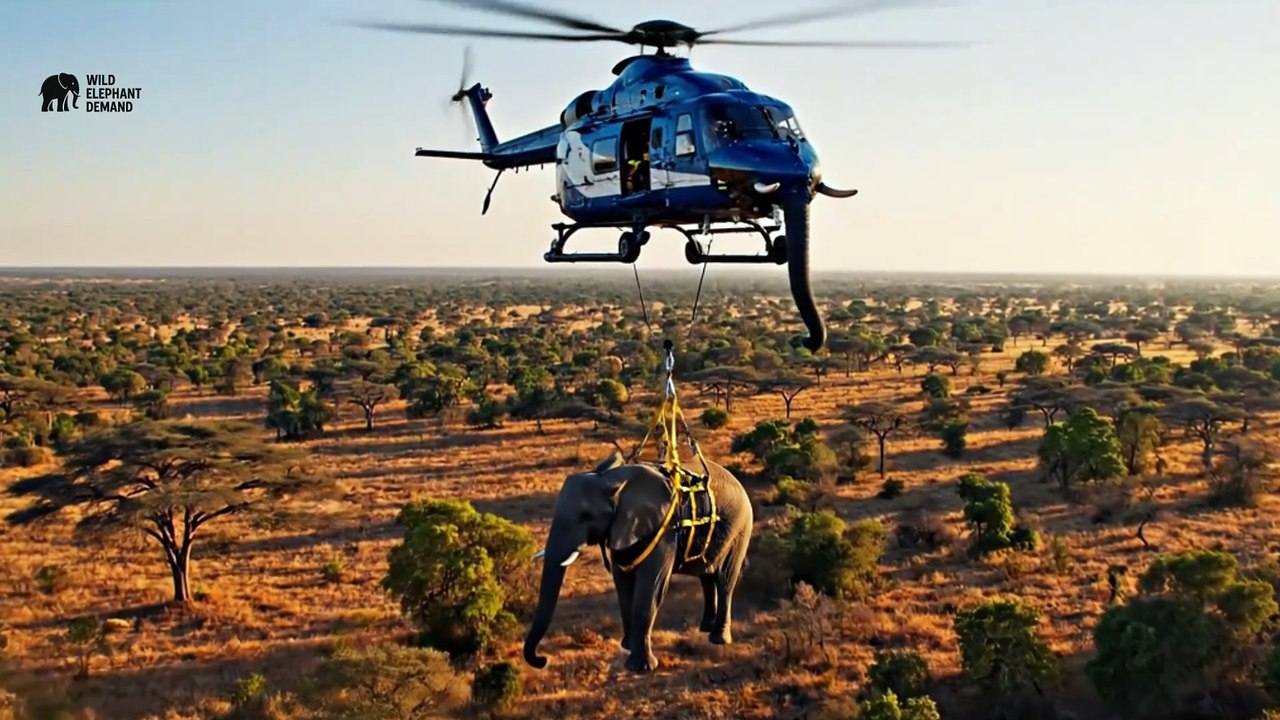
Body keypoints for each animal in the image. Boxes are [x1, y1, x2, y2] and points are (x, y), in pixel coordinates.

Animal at [523, 451, 753, 673]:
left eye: (586, 515)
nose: (542, 660)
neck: (610, 480)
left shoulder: (664, 530)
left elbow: (650, 586)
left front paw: (640, 667)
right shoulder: (622, 528)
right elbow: (623, 583)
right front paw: (628, 645)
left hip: (741, 527)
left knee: (724, 580)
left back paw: (718, 638)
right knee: (705, 574)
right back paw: (705, 627)